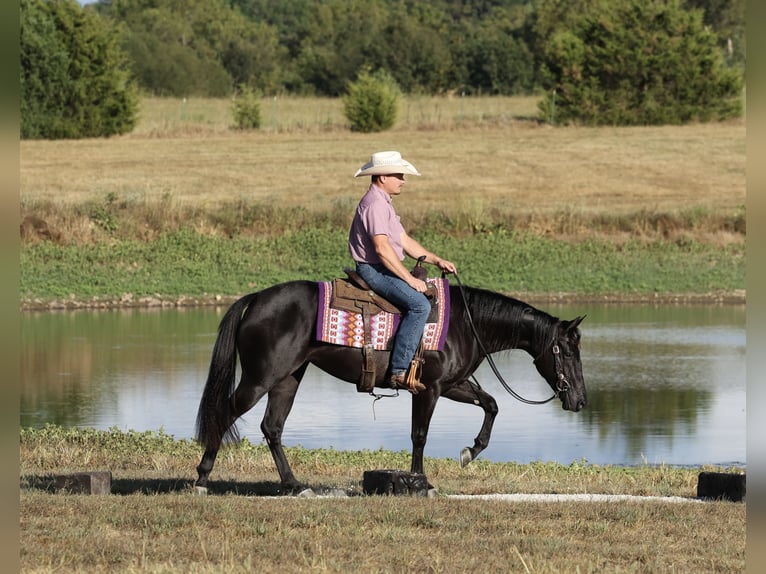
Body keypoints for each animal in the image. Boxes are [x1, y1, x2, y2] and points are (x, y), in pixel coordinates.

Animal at [195, 279, 587, 494]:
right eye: (567, 351)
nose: (580, 401)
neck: (465, 323)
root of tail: (255, 300)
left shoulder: (454, 384)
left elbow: (491, 404)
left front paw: (469, 452)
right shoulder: (430, 388)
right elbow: (419, 435)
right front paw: (421, 480)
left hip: (288, 378)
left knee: (272, 427)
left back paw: (293, 484)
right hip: (260, 378)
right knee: (225, 412)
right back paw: (201, 477)